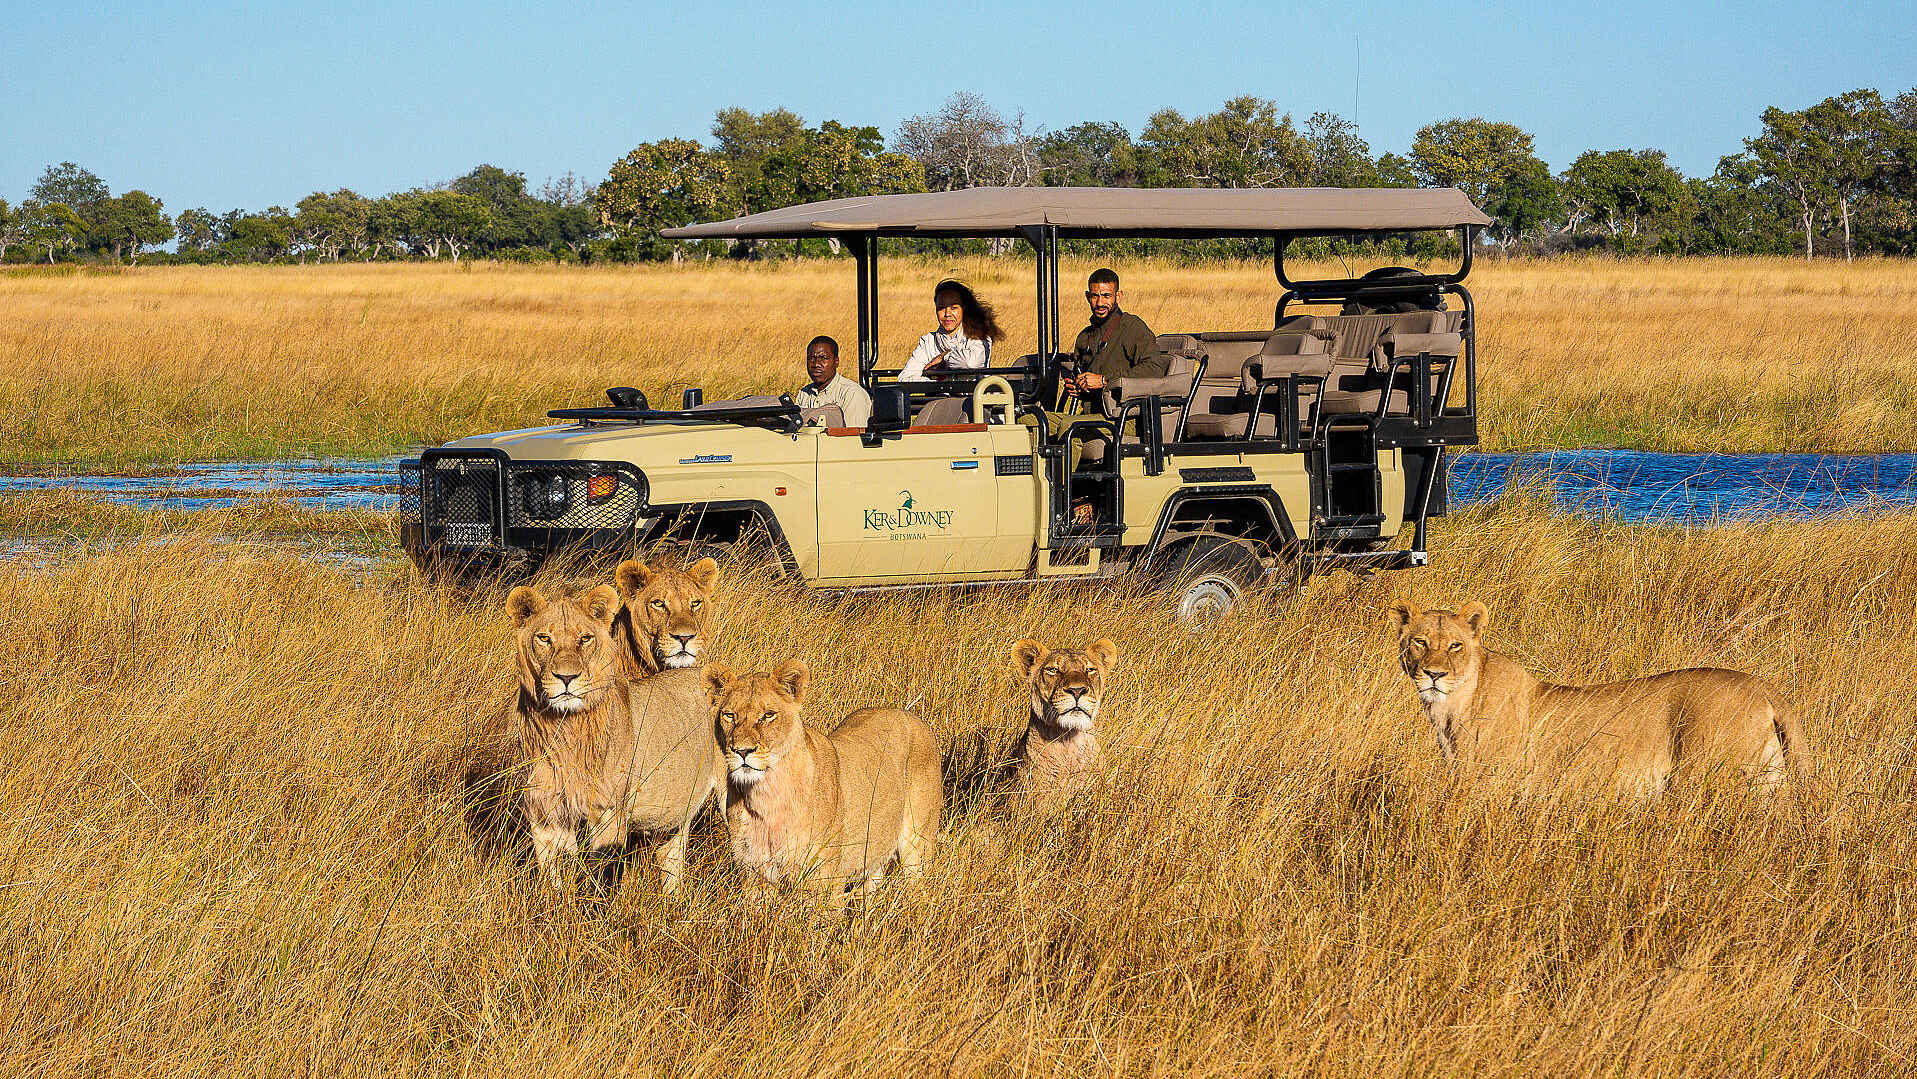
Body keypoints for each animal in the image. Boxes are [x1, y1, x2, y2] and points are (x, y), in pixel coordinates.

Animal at [507, 581, 724, 893]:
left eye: (585, 638)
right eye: (544, 638)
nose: (566, 678)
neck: (564, 729)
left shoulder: (608, 813)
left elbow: (603, 879)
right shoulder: (543, 812)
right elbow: (552, 879)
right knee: (671, 859)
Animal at [705, 659, 941, 907]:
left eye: (768, 715)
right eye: (729, 715)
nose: (742, 751)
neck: (765, 795)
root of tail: (911, 715)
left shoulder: (822, 880)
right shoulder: (754, 873)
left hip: (918, 844)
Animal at [1391, 600, 1808, 800]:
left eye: (1455, 646)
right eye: (1420, 642)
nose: (1434, 674)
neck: (1451, 706)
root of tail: (1762, 685)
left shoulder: (1492, 785)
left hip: (1707, 777)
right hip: (1770, 778)